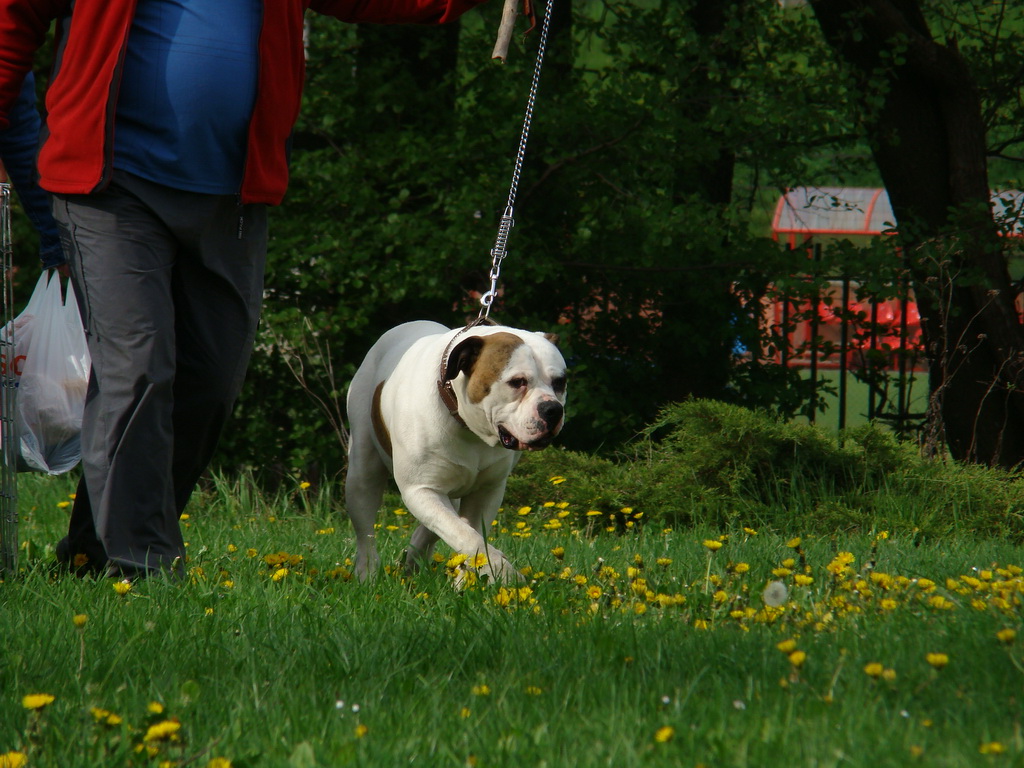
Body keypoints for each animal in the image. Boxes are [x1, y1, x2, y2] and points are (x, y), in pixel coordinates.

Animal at [346, 319, 569, 581]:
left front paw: (468, 578)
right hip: (362, 472)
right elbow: (468, 536)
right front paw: (503, 573)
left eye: (560, 383)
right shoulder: (420, 489)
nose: (552, 408)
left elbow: (469, 533)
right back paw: (367, 573)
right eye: (517, 382)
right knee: (366, 527)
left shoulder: (486, 491)